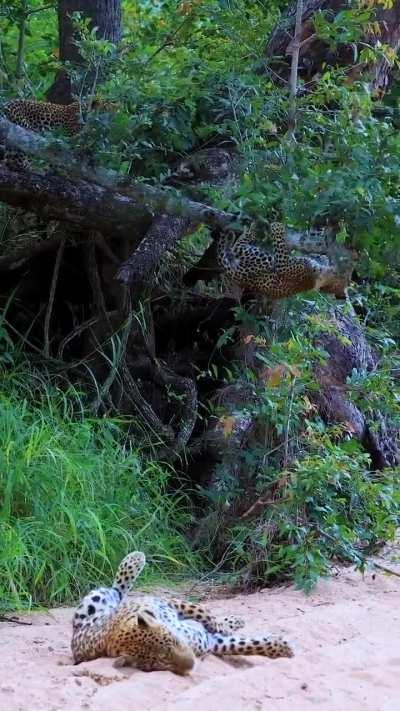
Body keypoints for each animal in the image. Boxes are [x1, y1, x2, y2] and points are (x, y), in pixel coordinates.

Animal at [71, 551, 294, 675]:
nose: (190, 664)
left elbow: (204, 612)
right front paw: (283, 648)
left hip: (94, 601)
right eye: (157, 665)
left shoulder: (169, 602)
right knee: (116, 590)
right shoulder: (210, 643)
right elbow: (244, 644)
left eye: (173, 642)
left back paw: (135, 558)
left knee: (116, 589)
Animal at [217, 221, 348, 300]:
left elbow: (280, 243)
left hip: (264, 259)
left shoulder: (282, 265)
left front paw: (277, 226)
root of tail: (237, 276)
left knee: (237, 247)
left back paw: (252, 229)